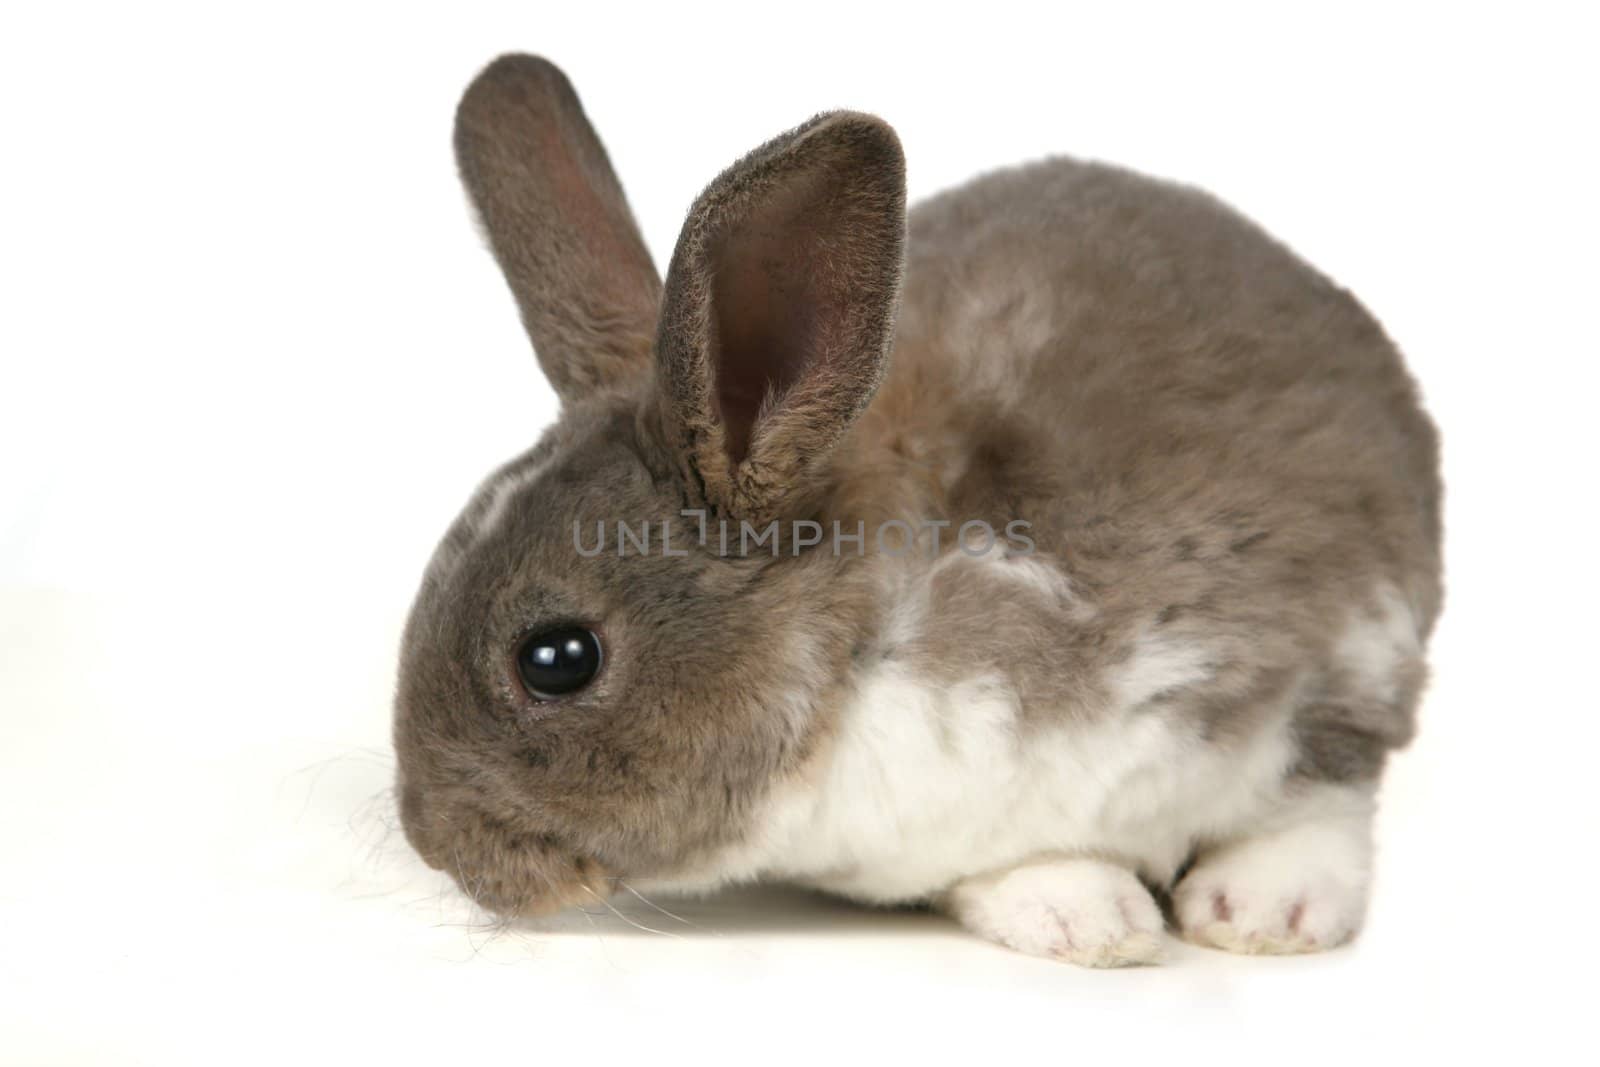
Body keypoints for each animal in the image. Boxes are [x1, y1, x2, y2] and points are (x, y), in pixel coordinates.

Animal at [393, 51, 1446, 966]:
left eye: (558, 659)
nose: (433, 841)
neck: (865, 654)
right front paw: (1086, 915)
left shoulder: (1303, 659)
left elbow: (1318, 792)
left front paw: (1254, 912)